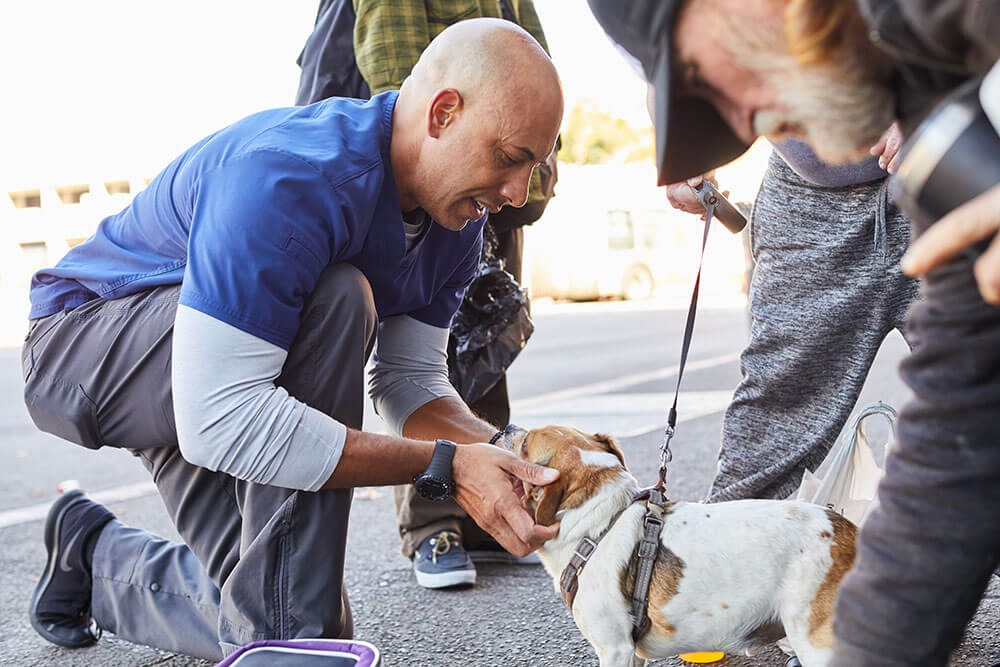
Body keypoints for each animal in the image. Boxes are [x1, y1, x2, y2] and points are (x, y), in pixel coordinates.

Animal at [512, 428, 856, 667]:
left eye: (525, 442)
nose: (506, 429)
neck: (600, 521)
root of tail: (849, 531)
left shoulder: (615, 648)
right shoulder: (631, 651)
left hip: (817, 643)